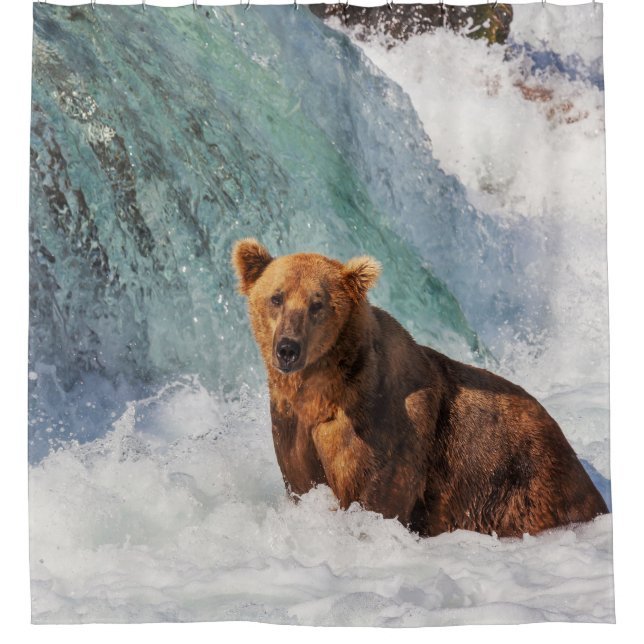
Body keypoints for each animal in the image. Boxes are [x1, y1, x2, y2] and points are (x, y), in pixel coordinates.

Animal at [232, 238, 608, 537]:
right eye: (276, 297)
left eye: (317, 303)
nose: (288, 348)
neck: (321, 389)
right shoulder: (291, 425)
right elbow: (302, 481)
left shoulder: (387, 428)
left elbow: (377, 495)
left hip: (522, 484)